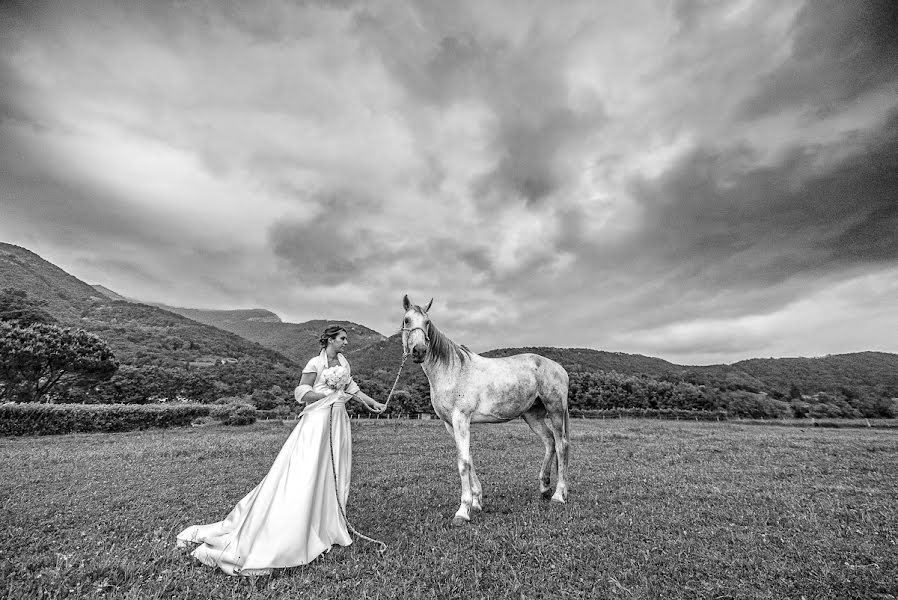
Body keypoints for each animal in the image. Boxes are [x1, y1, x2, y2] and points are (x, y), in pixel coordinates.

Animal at [402, 296, 572, 524]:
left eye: (427, 322)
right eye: (407, 320)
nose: (419, 351)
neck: (452, 370)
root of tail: (560, 369)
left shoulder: (461, 419)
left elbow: (463, 462)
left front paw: (463, 511)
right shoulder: (450, 424)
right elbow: (469, 458)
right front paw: (476, 501)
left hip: (555, 411)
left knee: (561, 445)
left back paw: (558, 495)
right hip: (532, 416)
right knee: (549, 442)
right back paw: (545, 488)